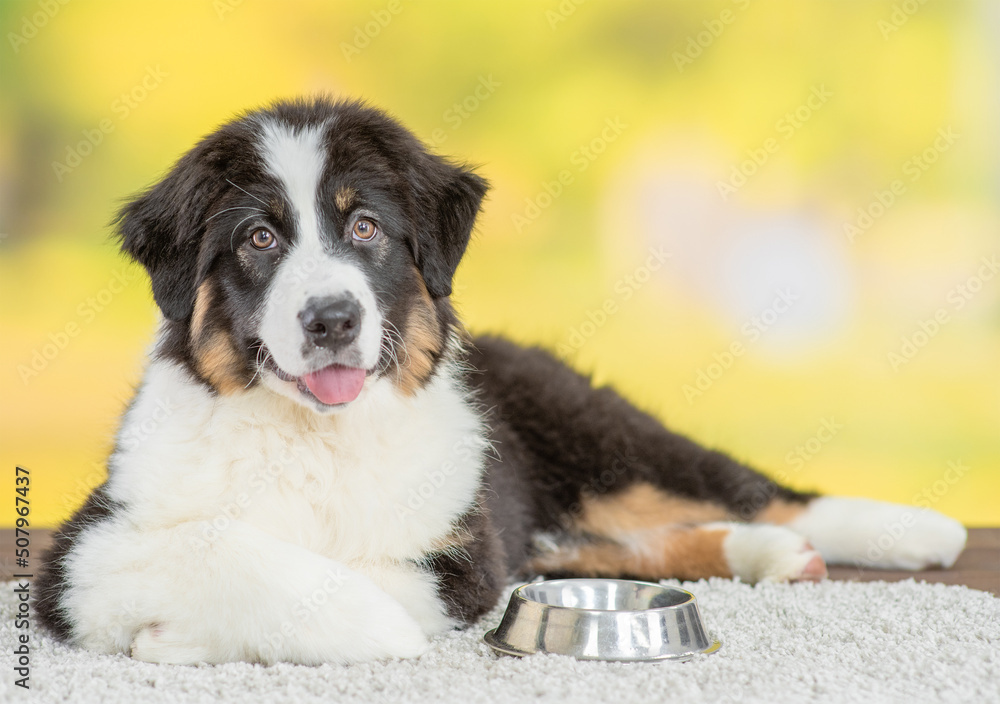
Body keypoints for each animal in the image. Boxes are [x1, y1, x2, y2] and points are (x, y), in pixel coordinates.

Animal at [35, 97, 964, 664]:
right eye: (259, 239)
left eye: (365, 227)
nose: (332, 319)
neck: (316, 439)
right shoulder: (84, 549)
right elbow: (217, 541)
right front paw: (196, 633)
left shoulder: (464, 550)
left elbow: (380, 573)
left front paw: (358, 624)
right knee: (605, 538)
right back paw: (767, 555)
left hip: (591, 428)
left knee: (746, 487)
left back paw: (912, 530)